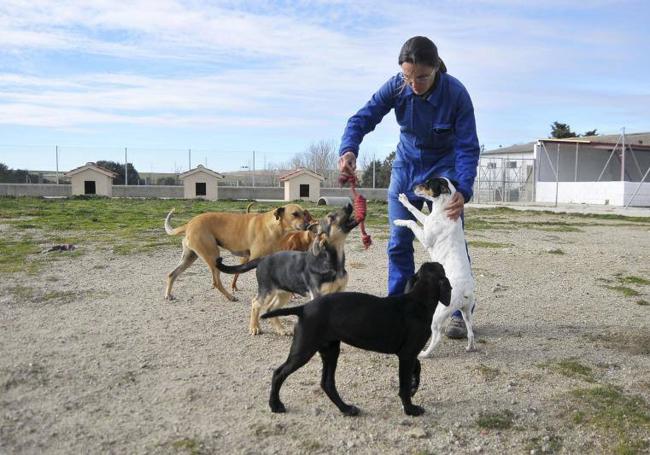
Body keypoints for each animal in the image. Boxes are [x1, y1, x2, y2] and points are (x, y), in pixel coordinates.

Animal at [165, 205, 312, 302]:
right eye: (295, 214)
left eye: (304, 213)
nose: (308, 226)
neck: (274, 226)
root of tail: (189, 224)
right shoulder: (255, 259)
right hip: (213, 256)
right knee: (216, 282)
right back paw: (230, 297)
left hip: (189, 257)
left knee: (172, 274)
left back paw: (168, 294)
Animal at [260, 264, 448, 416]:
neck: (418, 300)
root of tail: (304, 308)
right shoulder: (407, 354)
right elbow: (404, 385)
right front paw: (410, 409)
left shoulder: (408, 353)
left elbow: (417, 367)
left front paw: (414, 386)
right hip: (304, 350)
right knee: (279, 373)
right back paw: (275, 405)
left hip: (330, 350)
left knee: (327, 383)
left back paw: (346, 409)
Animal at [390, 176, 476, 358]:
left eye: (428, 184)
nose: (414, 187)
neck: (443, 208)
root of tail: (465, 291)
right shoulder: (426, 220)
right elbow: (415, 213)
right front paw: (403, 202)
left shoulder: (425, 237)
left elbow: (412, 221)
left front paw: (401, 219)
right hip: (466, 313)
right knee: (470, 332)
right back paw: (470, 347)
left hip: (437, 315)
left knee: (437, 337)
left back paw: (424, 353)